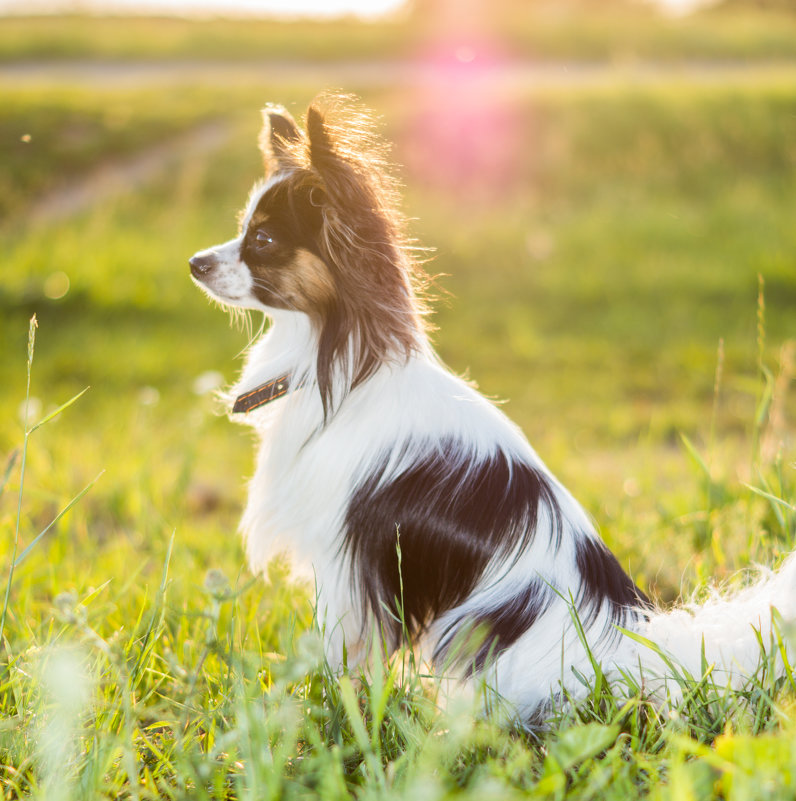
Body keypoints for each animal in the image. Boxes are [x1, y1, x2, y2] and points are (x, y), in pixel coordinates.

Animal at [191, 95, 796, 724]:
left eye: (262, 241)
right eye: (242, 230)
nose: (195, 263)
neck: (343, 362)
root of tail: (634, 649)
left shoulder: (348, 563)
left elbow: (345, 655)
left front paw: (340, 711)